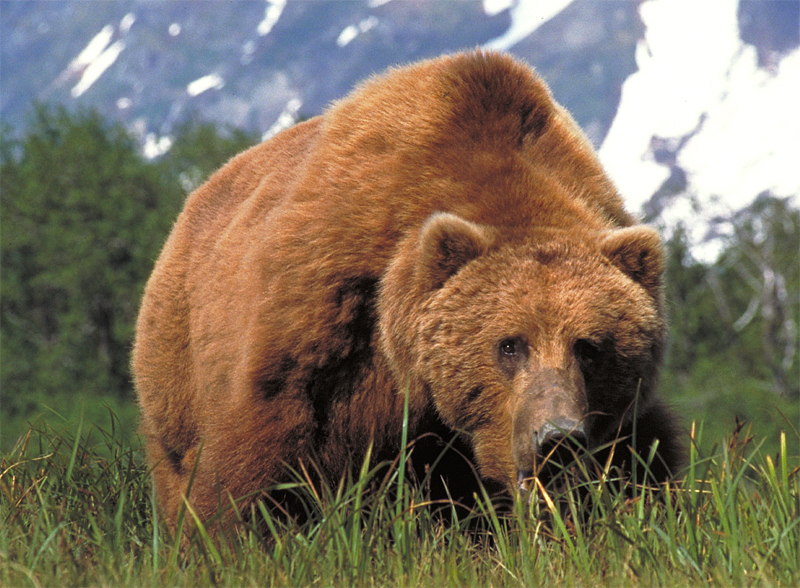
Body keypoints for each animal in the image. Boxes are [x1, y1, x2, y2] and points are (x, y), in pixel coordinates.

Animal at [134, 49, 684, 528]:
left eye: (590, 348)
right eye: (510, 345)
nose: (556, 439)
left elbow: (644, 460)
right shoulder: (328, 310)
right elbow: (259, 456)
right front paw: (239, 535)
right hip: (175, 363)